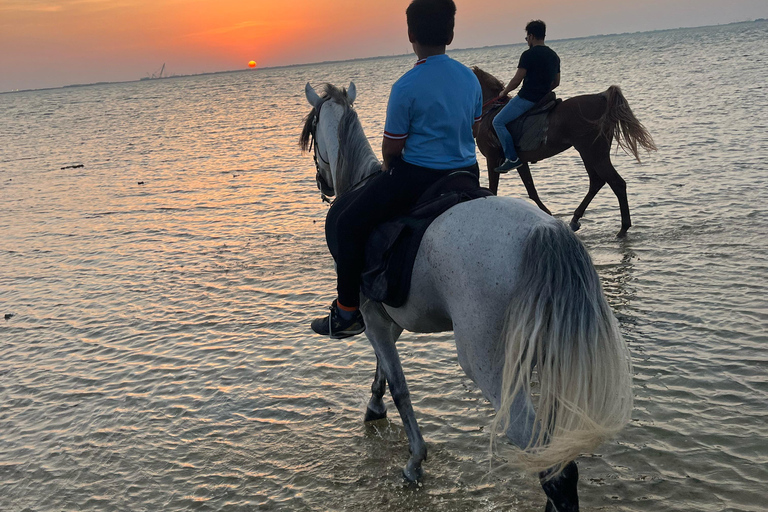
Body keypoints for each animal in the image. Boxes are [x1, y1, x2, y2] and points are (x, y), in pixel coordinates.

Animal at [301, 82, 633, 511]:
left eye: (312, 133)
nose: (323, 183)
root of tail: (545, 233)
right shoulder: (388, 319)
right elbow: (383, 371)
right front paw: (375, 407)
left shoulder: (372, 317)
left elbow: (399, 384)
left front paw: (414, 459)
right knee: (556, 453)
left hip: (490, 367)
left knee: (553, 467)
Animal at [472, 66, 656, 237]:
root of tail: (601, 97)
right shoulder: (520, 162)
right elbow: (532, 190)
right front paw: (548, 214)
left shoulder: (492, 159)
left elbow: (494, 189)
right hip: (589, 153)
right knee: (597, 182)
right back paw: (575, 220)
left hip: (593, 153)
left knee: (616, 183)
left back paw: (623, 228)